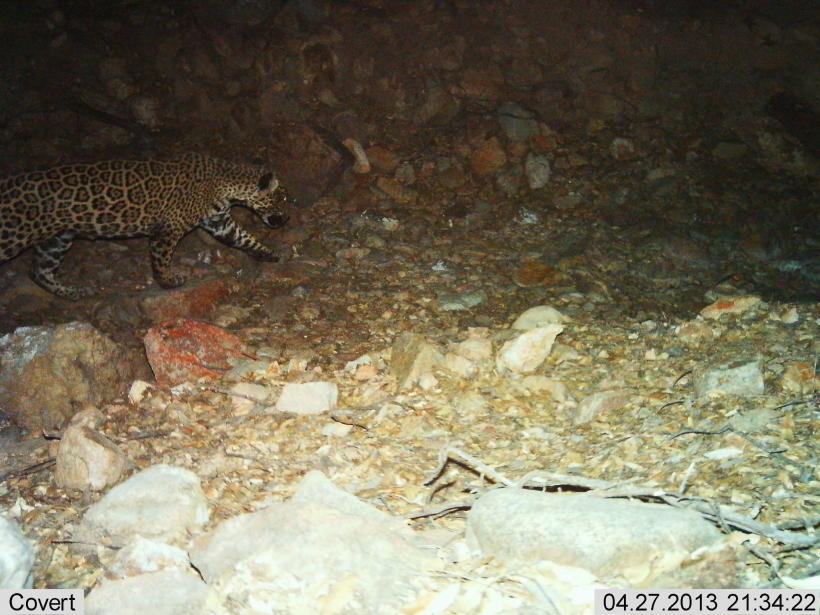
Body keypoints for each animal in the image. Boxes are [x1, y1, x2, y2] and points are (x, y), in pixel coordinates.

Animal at [0, 152, 291, 300]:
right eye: (281, 198)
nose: (287, 218)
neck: (226, 183)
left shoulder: (219, 222)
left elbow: (244, 238)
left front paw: (270, 254)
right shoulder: (168, 229)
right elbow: (161, 261)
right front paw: (168, 282)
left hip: (57, 239)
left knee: (39, 272)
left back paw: (72, 292)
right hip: (11, 236)